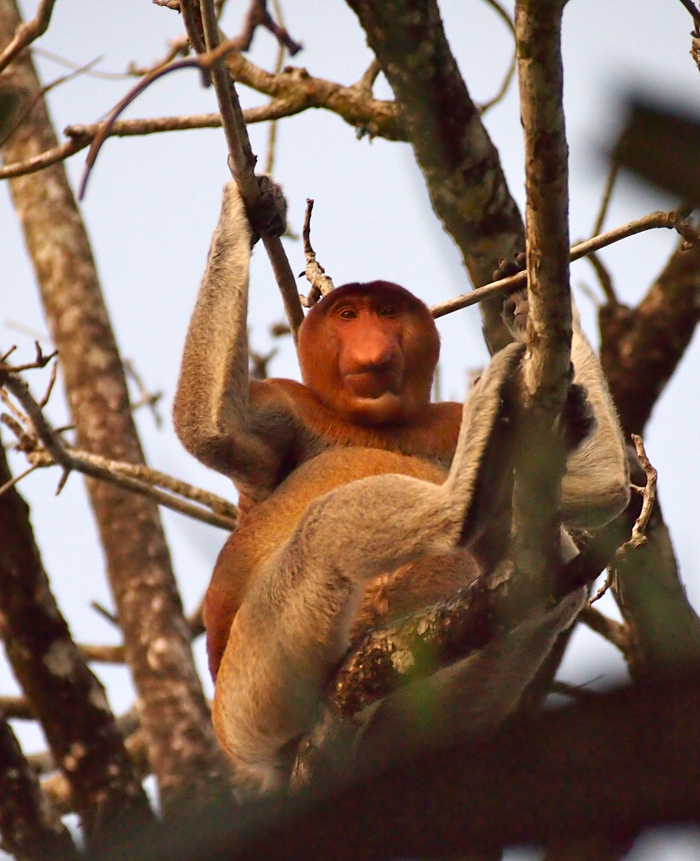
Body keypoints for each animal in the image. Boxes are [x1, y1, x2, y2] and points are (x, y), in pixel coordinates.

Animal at [174, 178, 628, 796]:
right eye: (346, 315)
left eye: (388, 311)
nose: (372, 346)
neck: (384, 423)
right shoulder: (287, 405)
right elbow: (210, 431)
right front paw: (248, 208)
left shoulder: (445, 422)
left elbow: (605, 489)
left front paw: (524, 302)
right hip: (250, 692)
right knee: (324, 533)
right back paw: (464, 500)